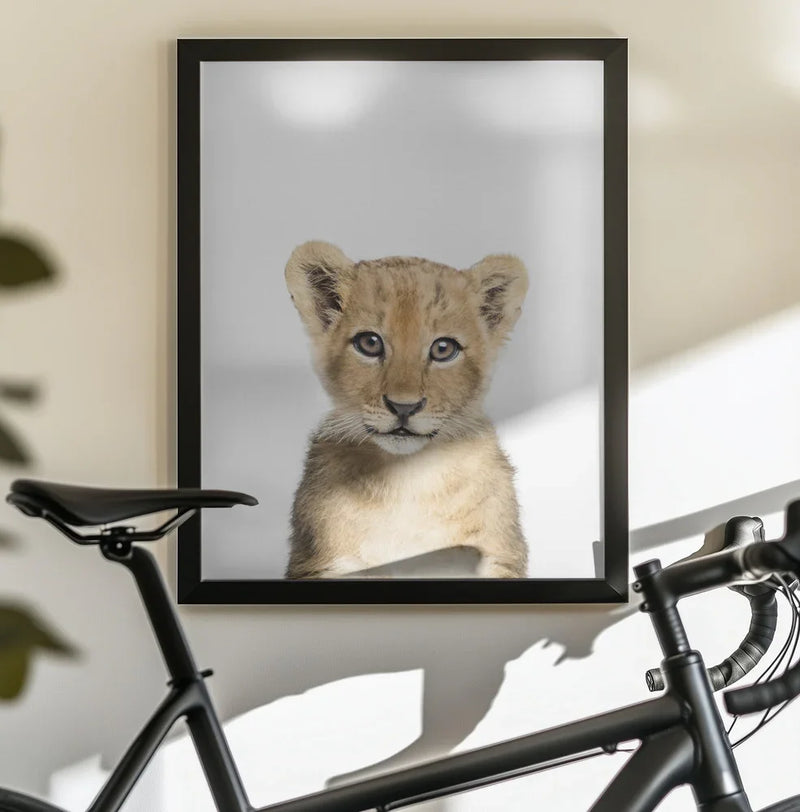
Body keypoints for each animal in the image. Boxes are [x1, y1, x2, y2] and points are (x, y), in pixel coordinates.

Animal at [284, 241, 529, 579]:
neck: (408, 476)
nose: (404, 407)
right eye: (370, 343)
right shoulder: (322, 562)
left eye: (443, 349)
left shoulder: (499, 556)